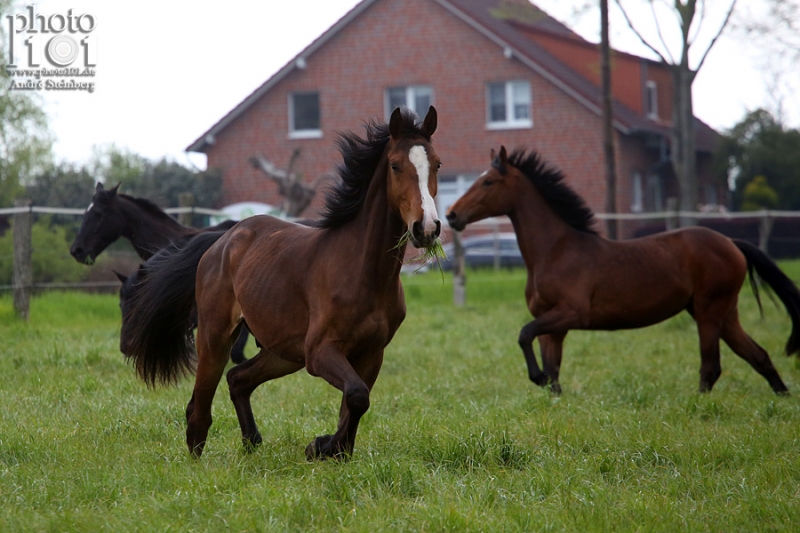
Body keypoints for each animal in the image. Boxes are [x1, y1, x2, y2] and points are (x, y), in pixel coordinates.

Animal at [123, 107, 444, 458]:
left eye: (437, 163)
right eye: (395, 165)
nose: (427, 227)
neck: (363, 270)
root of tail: (222, 240)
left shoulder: (372, 353)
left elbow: (355, 403)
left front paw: (332, 450)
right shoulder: (319, 351)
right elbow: (357, 396)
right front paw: (320, 446)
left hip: (284, 352)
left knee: (237, 378)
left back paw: (252, 441)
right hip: (216, 335)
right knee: (200, 405)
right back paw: (199, 454)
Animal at [446, 145, 800, 394]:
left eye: (488, 181)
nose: (451, 215)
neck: (555, 251)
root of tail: (731, 242)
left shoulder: (572, 314)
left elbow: (524, 335)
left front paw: (535, 377)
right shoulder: (552, 324)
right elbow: (553, 371)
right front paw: (548, 388)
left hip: (709, 312)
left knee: (711, 367)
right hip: (722, 312)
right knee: (758, 356)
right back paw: (782, 398)